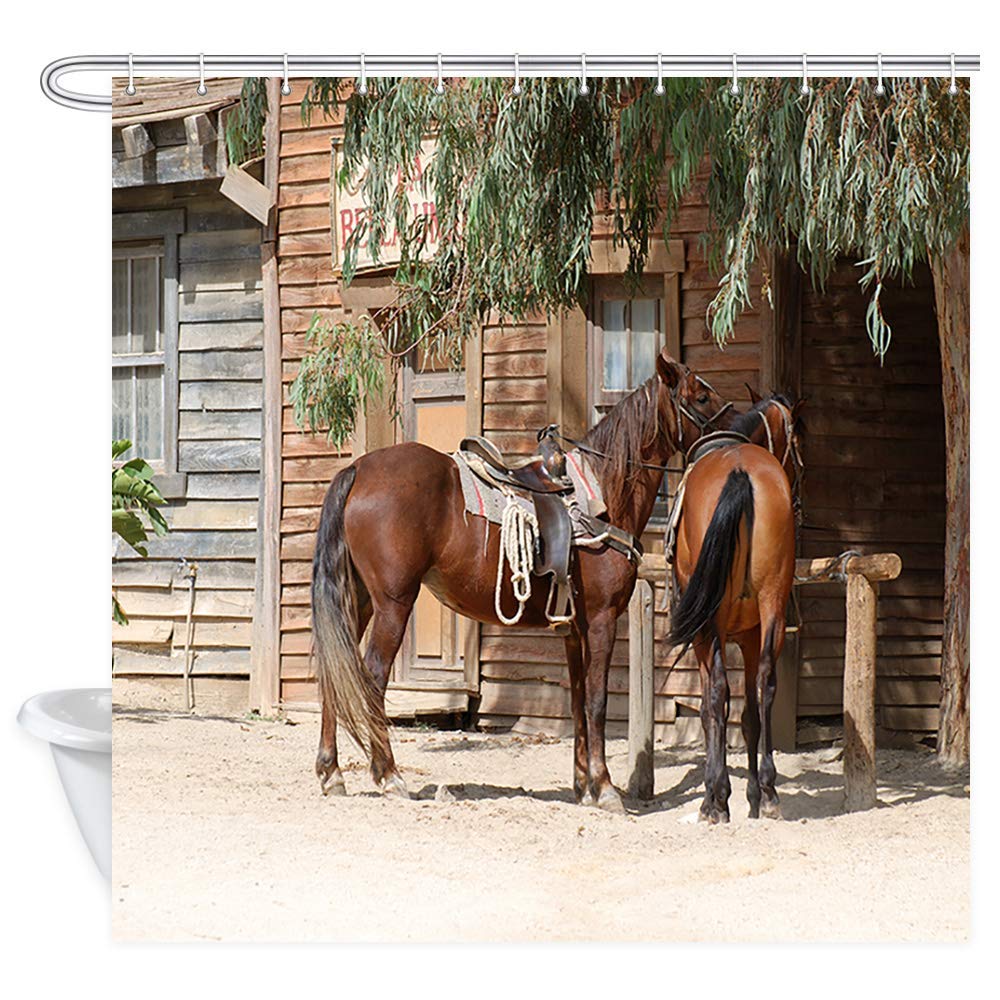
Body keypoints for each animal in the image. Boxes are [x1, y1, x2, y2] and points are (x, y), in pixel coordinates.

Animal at [310, 349, 732, 812]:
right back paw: (388, 774)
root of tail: (358, 470)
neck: (602, 496)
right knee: (370, 678)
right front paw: (604, 788)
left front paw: (584, 784)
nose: (734, 433)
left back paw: (331, 772)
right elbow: (598, 701)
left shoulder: (574, 629)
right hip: (393, 603)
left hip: (358, 599)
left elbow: (578, 700)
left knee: (336, 670)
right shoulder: (602, 621)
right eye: (701, 396)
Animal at [668, 392, 804, 823]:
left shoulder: (702, 637)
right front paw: (755, 796)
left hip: (709, 625)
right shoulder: (749, 634)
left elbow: (710, 708)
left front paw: (715, 796)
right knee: (766, 681)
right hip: (772, 605)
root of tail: (740, 472)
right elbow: (749, 715)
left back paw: (719, 798)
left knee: (718, 694)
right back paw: (770, 792)